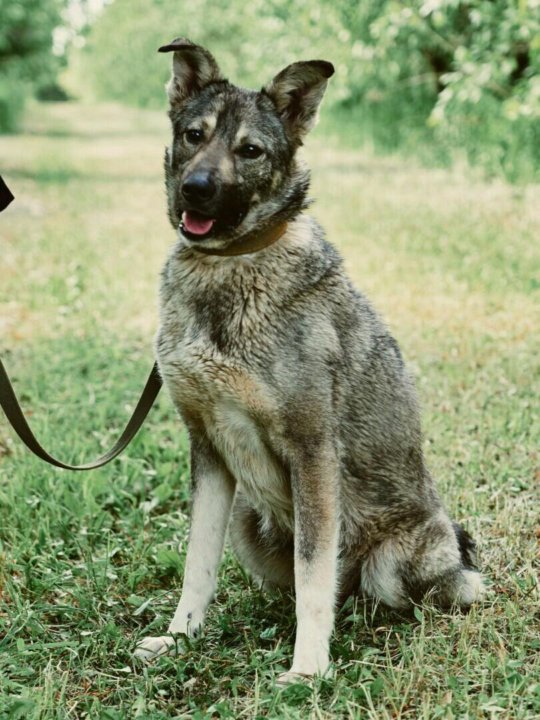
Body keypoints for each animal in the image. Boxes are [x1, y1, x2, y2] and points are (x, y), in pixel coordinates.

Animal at [136, 38, 486, 680]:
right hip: (248, 521)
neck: (229, 265)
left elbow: (314, 570)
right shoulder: (209, 451)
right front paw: (179, 638)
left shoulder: (313, 451)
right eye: (194, 135)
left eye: (250, 150)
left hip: (400, 559)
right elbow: (199, 564)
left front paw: (308, 670)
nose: (195, 188)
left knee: (390, 590)